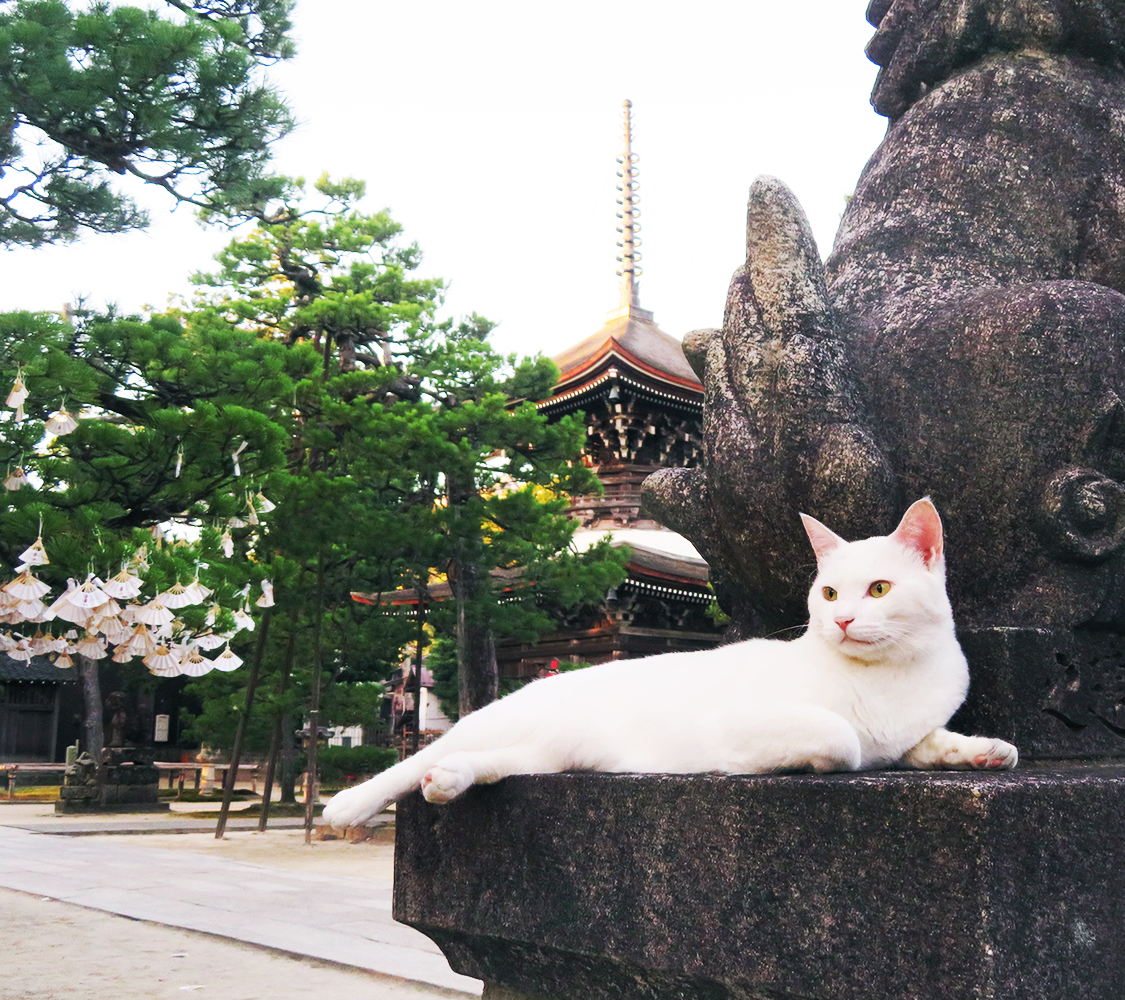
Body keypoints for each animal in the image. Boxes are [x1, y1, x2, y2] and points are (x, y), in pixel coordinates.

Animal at [324, 497, 1021, 827]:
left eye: (877, 590)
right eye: (827, 595)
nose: (842, 621)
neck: (893, 676)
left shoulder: (912, 729)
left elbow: (929, 741)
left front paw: (985, 751)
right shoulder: (752, 722)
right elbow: (845, 739)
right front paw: (810, 760)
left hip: (544, 753)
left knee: (486, 764)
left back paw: (448, 782)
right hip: (488, 722)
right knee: (413, 761)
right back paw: (349, 806)